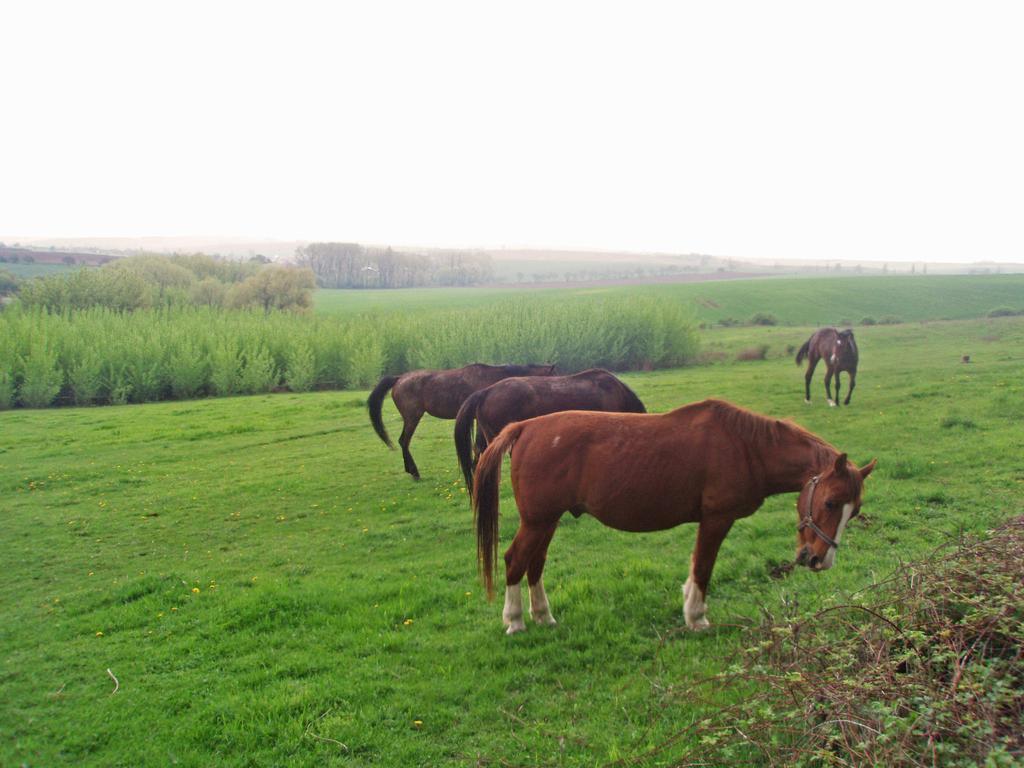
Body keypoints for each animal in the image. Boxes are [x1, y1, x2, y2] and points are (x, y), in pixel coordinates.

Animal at [475, 399, 876, 634]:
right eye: (830, 503)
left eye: (853, 511)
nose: (819, 559)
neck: (746, 447)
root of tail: (525, 427)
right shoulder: (716, 519)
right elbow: (704, 568)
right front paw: (697, 617)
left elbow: (696, 564)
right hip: (538, 521)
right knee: (514, 561)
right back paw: (515, 621)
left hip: (547, 521)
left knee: (535, 563)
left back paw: (543, 615)